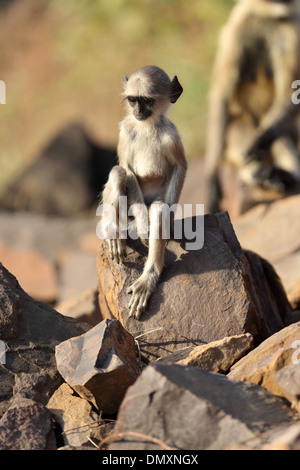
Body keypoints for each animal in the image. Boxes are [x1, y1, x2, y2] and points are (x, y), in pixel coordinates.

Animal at [99, 65, 186, 320]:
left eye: (146, 100)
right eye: (132, 99)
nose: (137, 110)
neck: (146, 126)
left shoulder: (171, 135)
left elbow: (180, 167)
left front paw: (167, 223)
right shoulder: (126, 131)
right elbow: (126, 169)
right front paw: (143, 227)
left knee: (157, 208)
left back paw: (148, 279)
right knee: (118, 173)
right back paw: (114, 231)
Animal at [203, 0, 300, 213]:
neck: (266, 16)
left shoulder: (291, 28)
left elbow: (290, 93)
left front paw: (260, 141)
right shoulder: (238, 26)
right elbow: (221, 94)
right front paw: (212, 178)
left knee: (275, 132)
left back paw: (285, 176)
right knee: (240, 126)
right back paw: (261, 176)